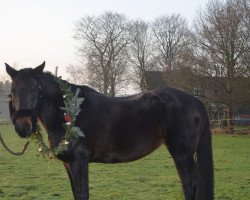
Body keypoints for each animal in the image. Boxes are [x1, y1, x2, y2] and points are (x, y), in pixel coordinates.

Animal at [5, 61, 213, 199]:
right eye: (13, 91)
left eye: (35, 90)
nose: (22, 126)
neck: (67, 111)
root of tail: (195, 100)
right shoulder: (69, 164)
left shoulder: (79, 162)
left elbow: (82, 194)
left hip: (182, 154)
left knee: (190, 185)